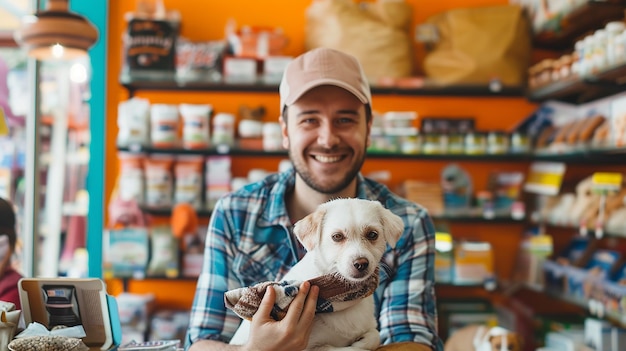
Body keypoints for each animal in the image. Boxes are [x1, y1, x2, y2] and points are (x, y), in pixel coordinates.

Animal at [229, 199, 404, 350]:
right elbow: (343, 349)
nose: (361, 263)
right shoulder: (311, 348)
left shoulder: (370, 326)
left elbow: (375, 336)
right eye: (337, 236)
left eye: (372, 234)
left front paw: (361, 341)